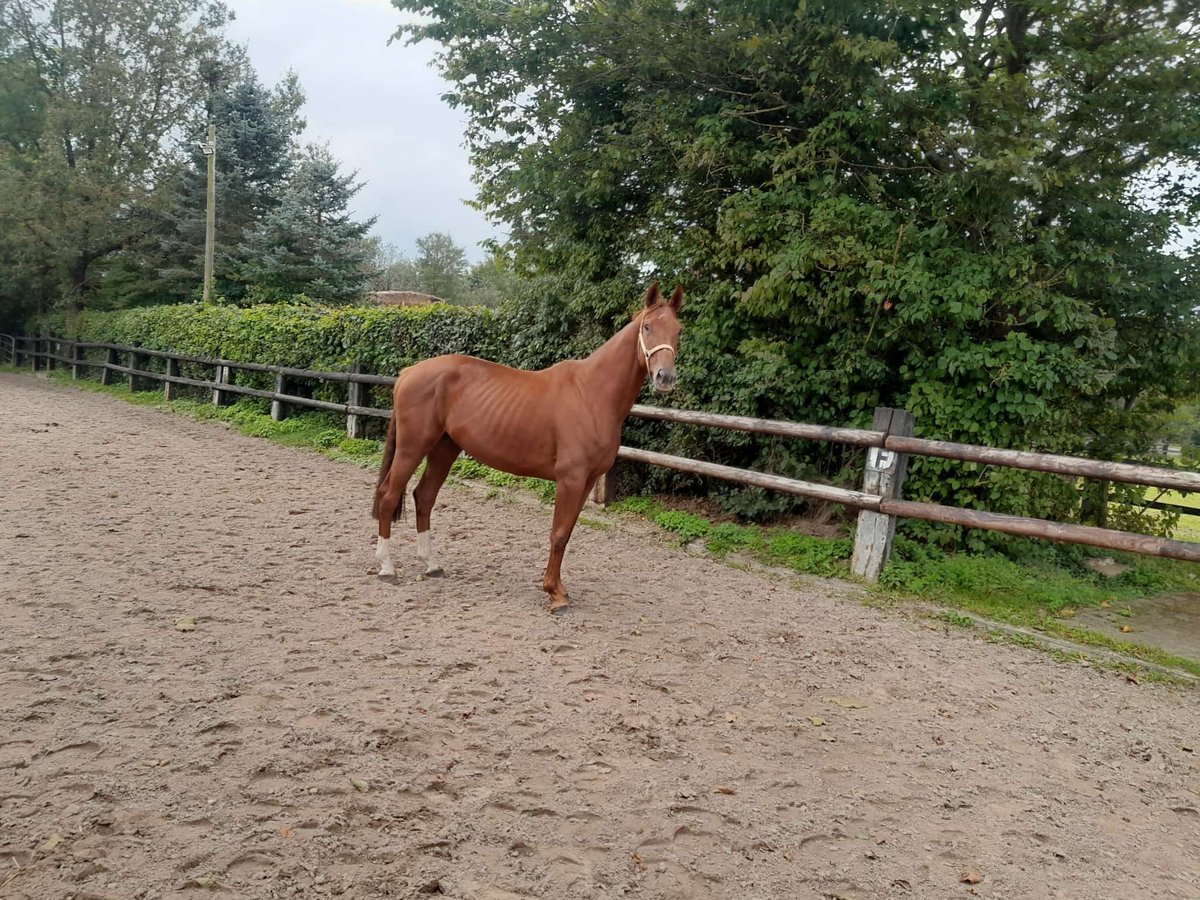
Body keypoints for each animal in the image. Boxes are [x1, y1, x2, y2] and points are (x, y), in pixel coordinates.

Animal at [369, 285, 681, 614]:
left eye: (678, 330)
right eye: (647, 327)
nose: (665, 377)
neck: (591, 394)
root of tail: (408, 373)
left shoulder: (586, 482)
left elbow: (567, 533)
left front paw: (559, 589)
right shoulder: (570, 479)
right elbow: (558, 534)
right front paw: (554, 594)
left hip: (444, 449)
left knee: (424, 497)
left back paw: (432, 565)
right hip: (412, 447)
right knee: (389, 495)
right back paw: (387, 568)